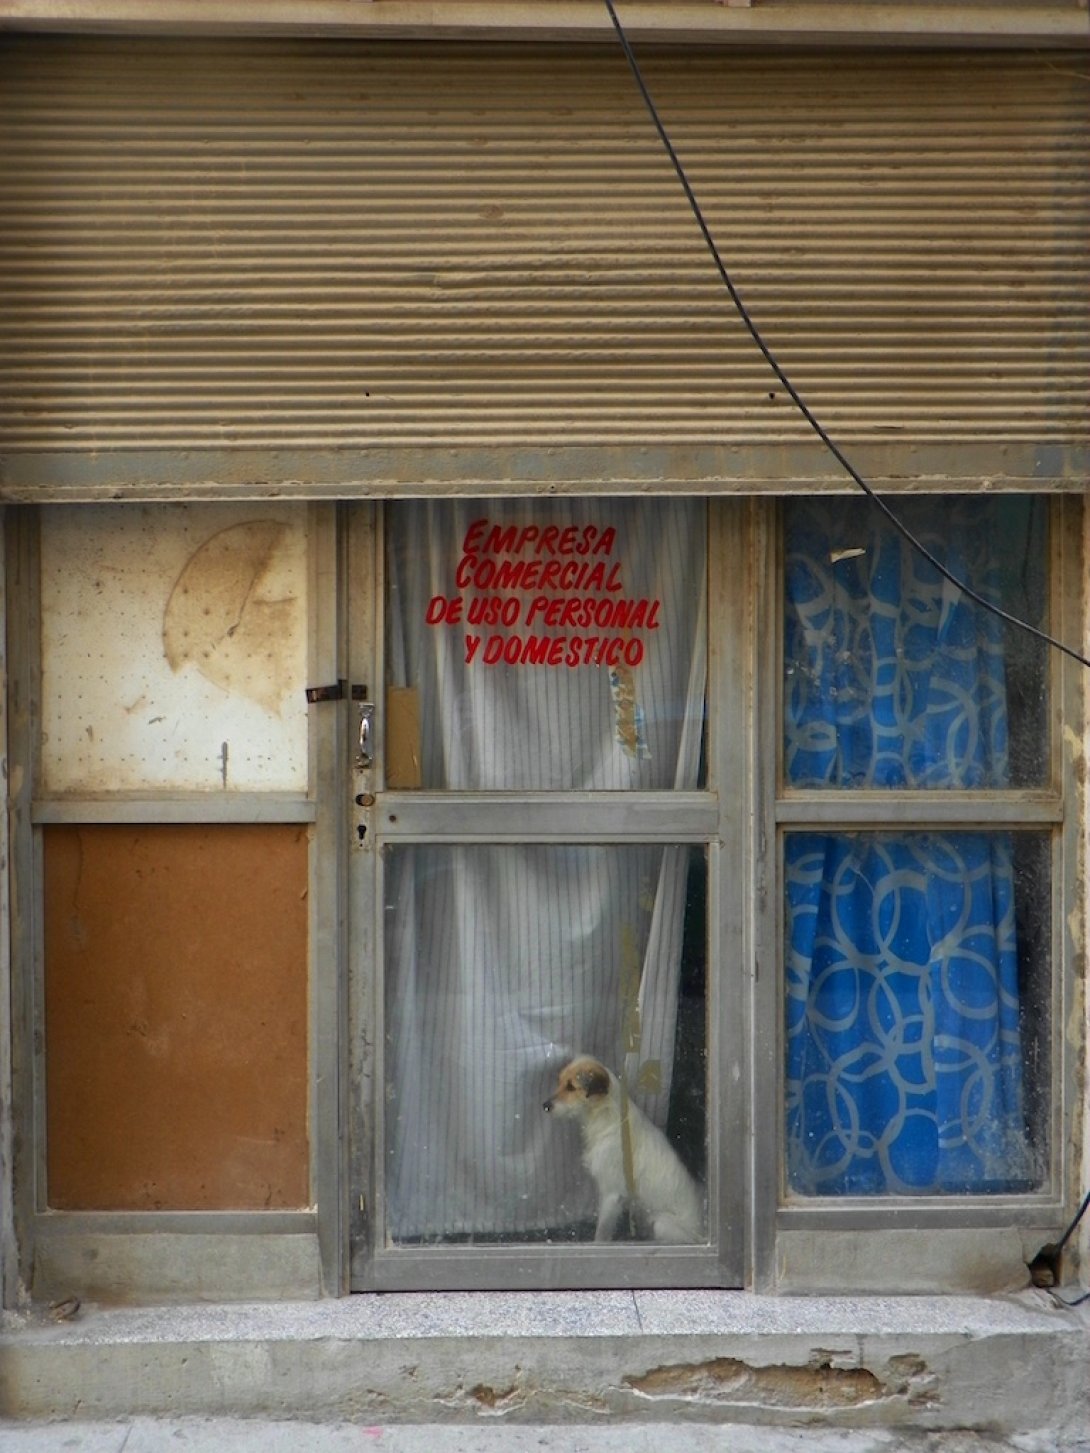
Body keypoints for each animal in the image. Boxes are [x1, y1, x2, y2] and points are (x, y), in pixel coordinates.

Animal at [543, 1051, 703, 1243]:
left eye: (571, 1087)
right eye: (560, 1082)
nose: (545, 1106)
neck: (605, 1116)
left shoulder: (612, 1195)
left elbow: (601, 1235)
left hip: (661, 1224)